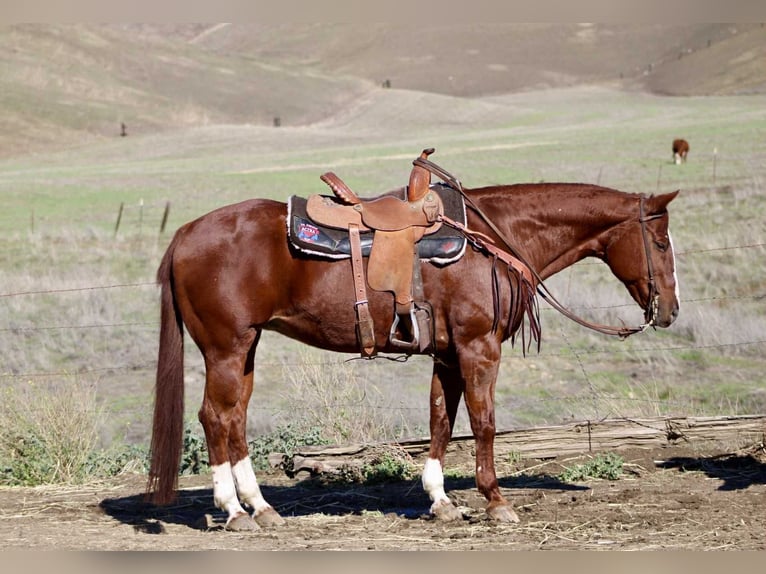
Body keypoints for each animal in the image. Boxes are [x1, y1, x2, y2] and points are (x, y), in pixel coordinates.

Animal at [147, 171, 680, 530]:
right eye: (659, 241)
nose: (670, 310)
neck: (494, 238)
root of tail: (184, 235)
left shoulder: (447, 355)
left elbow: (441, 420)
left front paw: (440, 501)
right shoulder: (478, 349)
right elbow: (483, 423)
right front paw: (495, 500)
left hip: (248, 348)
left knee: (235, 418)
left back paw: (261, 507)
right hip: (226, 348)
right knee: (215, 417)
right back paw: (234, 510)